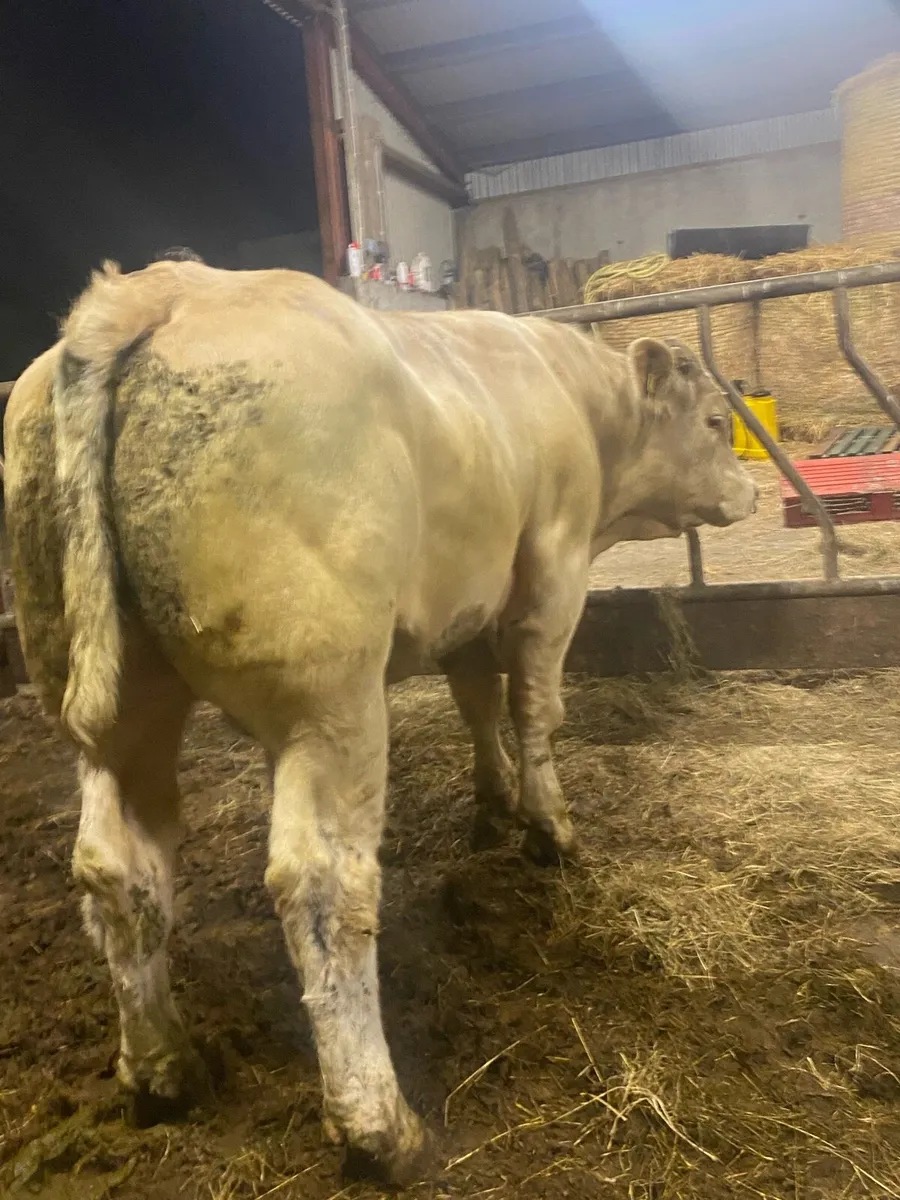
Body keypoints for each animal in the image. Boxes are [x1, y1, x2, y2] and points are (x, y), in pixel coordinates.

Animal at [3, 260, 757, 1184]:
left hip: (122, 704)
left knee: (120, 867)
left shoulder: (467, 601)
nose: (752, 491)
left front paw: (492, 804)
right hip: (331, 704)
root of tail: (154, 291)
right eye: (716, 421)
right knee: (324, 885)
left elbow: (477, 700)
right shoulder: (552, 570)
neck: (575, 399)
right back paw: (378, 1124)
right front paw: (551, 832)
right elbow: (535, 705)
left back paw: (162, 1070)